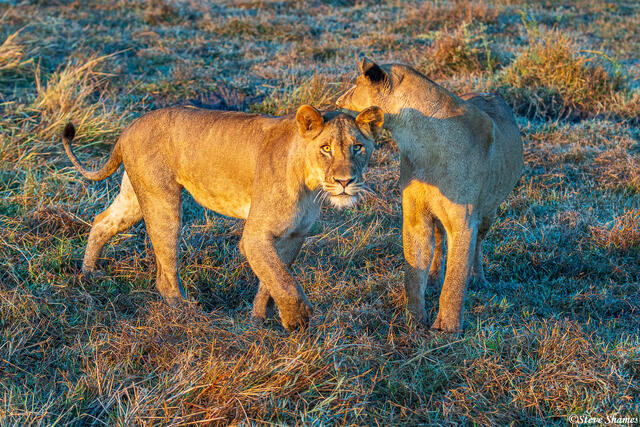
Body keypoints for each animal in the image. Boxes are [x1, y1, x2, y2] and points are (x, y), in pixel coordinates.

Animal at [63, 104, 383, 331]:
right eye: (326, 148)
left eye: (358, 147)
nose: (345, 181)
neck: (310, 183)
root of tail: (128, 128)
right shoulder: (255, 236)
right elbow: (284, 281)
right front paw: (297, 320)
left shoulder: (294, 236)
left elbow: (273, 279)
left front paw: (258, 321)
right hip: (163, 203)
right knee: (165, 272)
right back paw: (186, 313)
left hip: (135, 199)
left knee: (102, 221)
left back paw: (89, 273)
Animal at [336, 58, 523, 332]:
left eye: (355, 85)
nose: (337, 101)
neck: (420, 141)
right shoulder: (416, 215)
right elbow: (413, 272)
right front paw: (414, 320)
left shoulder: (464, 222)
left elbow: (456, 277)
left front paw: (446, 328)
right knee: (439, 241)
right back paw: (434, 280)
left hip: (489, 211)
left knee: (478, 245)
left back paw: (477, 278)